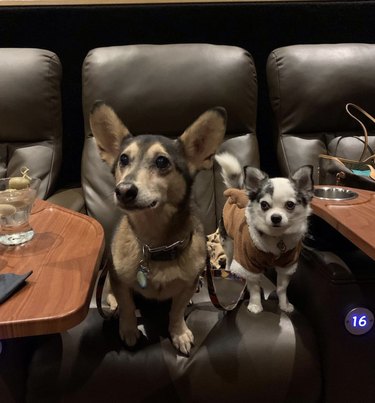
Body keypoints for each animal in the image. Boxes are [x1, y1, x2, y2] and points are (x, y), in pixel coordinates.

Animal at [214, 153, 314, 314]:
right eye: (264, 205)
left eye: (290, 205)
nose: (276, 217)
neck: (276, 237)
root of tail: (238, 190)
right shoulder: (248, 264)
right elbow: (254, 287)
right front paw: (255, 305)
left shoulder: (287, 265)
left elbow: (282, 288)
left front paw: (284, 304)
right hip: (228, 241)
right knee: (229, 258)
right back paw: (229, 271)